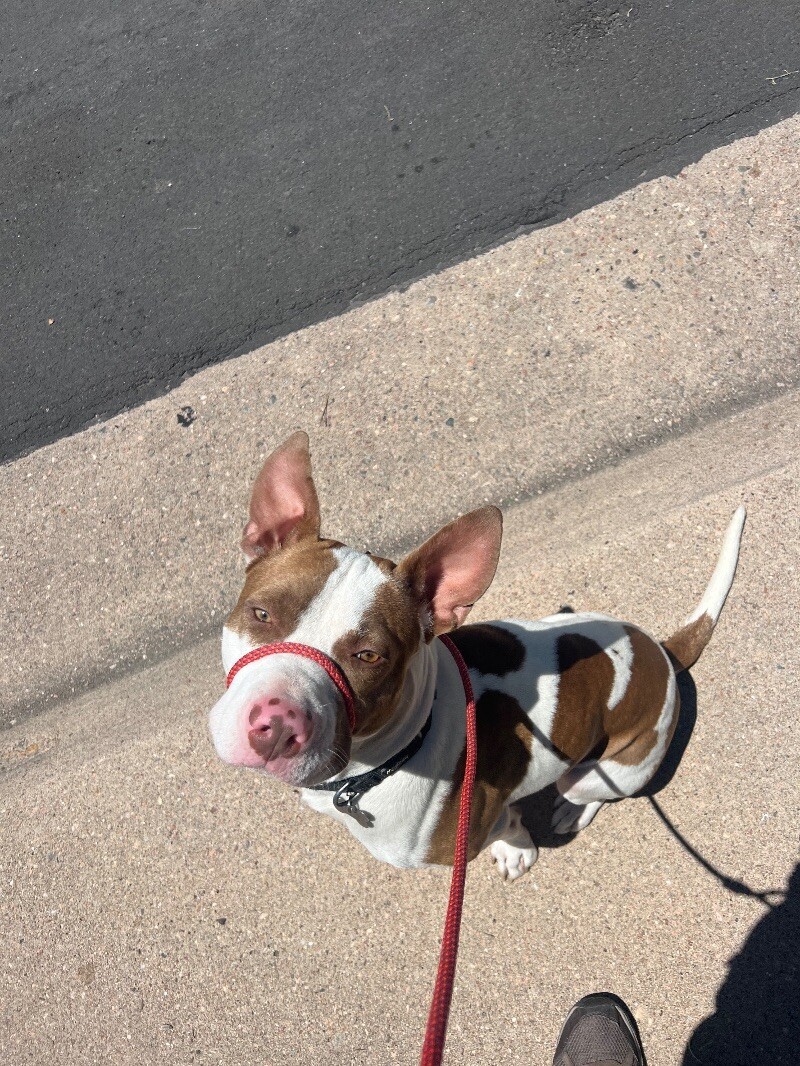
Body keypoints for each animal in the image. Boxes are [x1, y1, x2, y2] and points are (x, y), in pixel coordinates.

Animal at [208, 428, 746, 878]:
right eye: (261, 614)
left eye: (369, 657)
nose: (277, 726)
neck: (395, 752)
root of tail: (660, 652)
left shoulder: (477, 826)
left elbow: (509, 825)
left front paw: (517, 850)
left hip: (608, 770)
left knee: (594, 792)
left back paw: (571, 809)